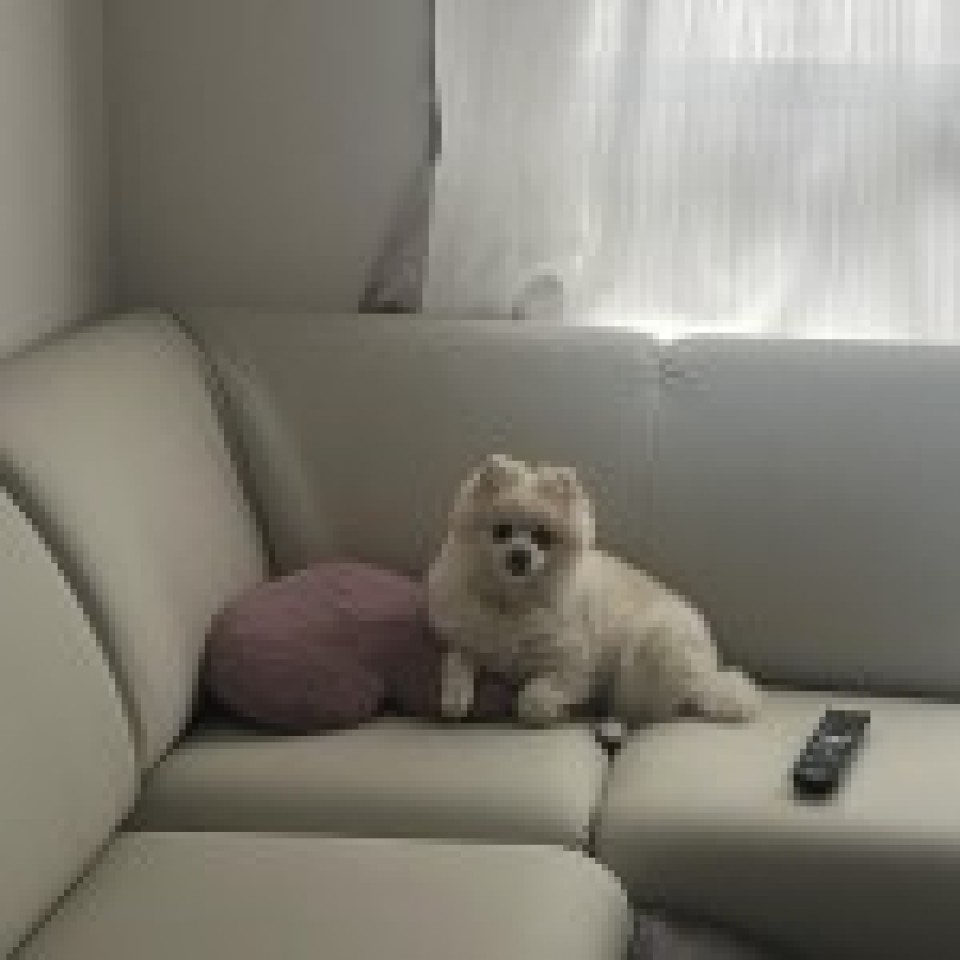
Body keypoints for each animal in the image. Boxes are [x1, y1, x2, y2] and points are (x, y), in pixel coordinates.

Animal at [427, 455, 760, 727]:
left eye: (543, 537)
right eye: (501, 531)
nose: (519, 554)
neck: (514, 601)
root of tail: (709, 672)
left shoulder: (572, 665)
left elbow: (533, 700)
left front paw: (549, 709)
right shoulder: (469, 635)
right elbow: (457, 659)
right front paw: (455, 697)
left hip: (651, 650)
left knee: (661, 707)